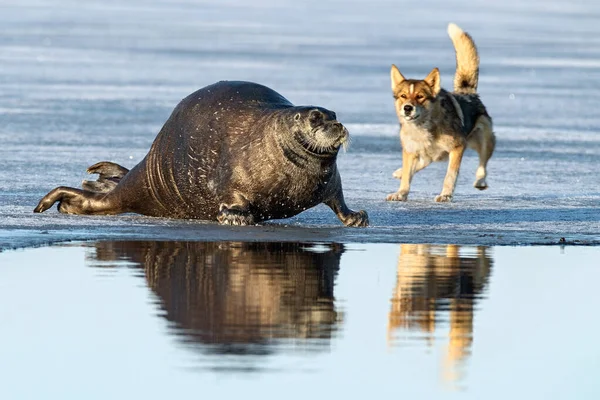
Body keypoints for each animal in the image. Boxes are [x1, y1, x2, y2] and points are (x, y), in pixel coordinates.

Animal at [386, 23, 494, 202]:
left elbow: (450, 175)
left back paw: (480, 181)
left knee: (483, 163)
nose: (407, 108)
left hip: (484, 140)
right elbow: (408, 175)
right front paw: (400, 193)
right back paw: (399, 172)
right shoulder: (410, 149)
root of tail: (468, 92)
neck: (424, 127)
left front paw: (445, 195)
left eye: (420, 96)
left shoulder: (457, 147)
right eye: (403, 96)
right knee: (421, 163)